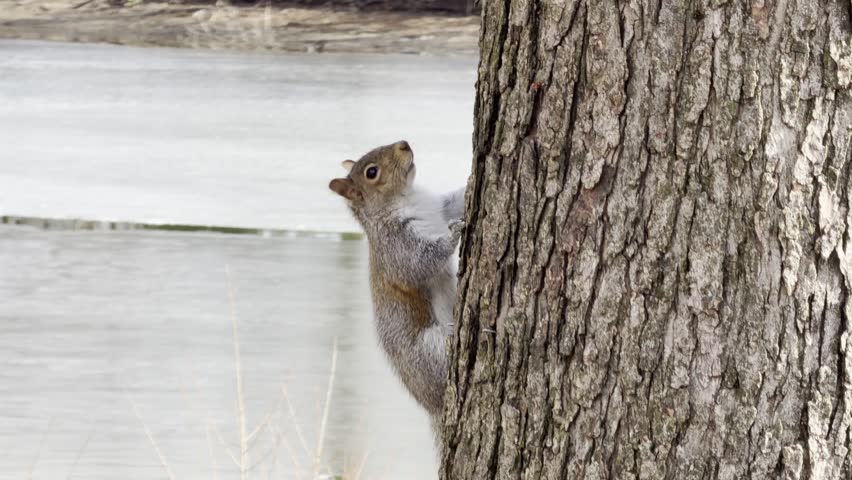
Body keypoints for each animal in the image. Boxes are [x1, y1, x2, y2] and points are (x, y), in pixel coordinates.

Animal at [328, 140, 465, 441]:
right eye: (371, 172)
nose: (404, 143)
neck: (407, 198)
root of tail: (432, 407)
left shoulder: (438, 206)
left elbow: (456, 200)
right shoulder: (396, 247)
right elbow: (418, 264)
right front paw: (453, 235)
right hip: (428, 349)